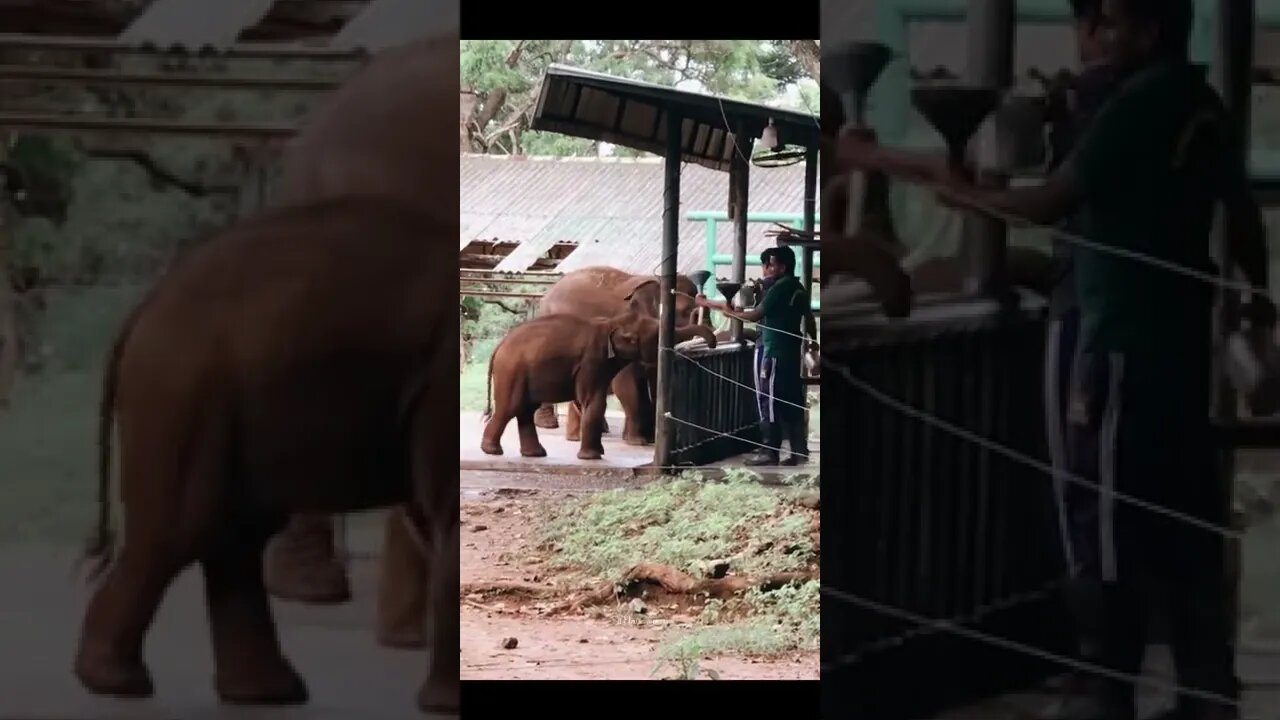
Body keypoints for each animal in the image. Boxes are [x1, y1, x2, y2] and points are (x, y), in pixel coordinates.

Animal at [68, 197, 460, 712]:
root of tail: (146, 304)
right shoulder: (442, 384)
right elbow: (447, 513)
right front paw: (446, 706)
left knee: (234, 534)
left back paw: (265, 693)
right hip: (184, 394)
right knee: (182, 529)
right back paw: (115, 682)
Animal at [481, 311, 716, 456]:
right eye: (658, 334)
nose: (711, 344)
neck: (612, 323)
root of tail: (499, 346)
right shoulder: (591, 361)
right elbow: (594, 401)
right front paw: (593, 457)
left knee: (525, 410)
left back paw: (535, 454)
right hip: (511, 371)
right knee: (510, 408)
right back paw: (492, 451)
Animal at [529, 265, 701, 443]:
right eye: (683, 311)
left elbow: (654, 380)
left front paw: (648, 438)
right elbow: (625, 382)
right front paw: (637, 442)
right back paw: (550, 425)